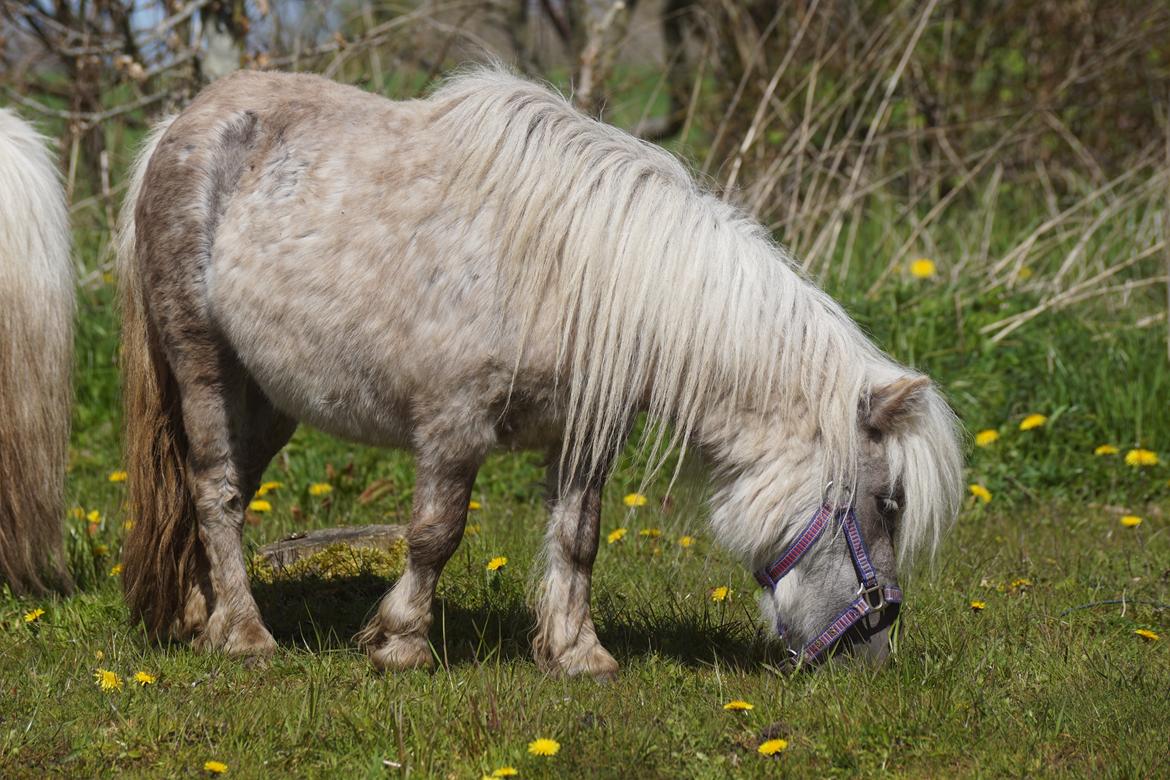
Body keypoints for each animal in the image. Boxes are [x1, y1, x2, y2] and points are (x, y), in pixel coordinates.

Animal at [118, 67, 964, 678]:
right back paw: (244, 635)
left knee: (214, 492)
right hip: (205, 368)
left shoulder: (583, 436)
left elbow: (577, 537)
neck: (579, 272)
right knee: (217, 492)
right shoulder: (453, 428)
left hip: (266, 400)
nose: (872, 649)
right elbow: (435, 535)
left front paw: (575, 653)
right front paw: (401, 644)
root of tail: (175, 128)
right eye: (888, 503)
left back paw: (201, 617)